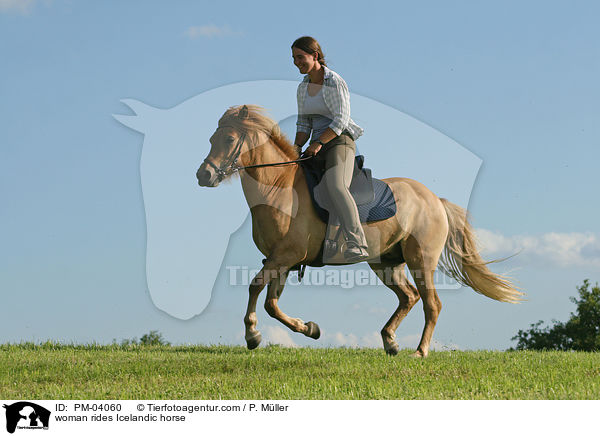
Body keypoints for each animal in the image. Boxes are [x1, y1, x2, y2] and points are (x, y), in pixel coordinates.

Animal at [196, 104, 520, 356]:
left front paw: (252, 335)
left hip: (421, 259)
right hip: (386, 262)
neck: (278, 187)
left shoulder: (285, 256)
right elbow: (271, 304)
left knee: (432, 304)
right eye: (211, 138)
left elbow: (255, 287)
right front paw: (309, 328)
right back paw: (390, 342)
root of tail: (435, 200)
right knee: (409, 297)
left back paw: (420, 351)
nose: (204, 175)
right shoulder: (282, 260)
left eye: (228, 138)